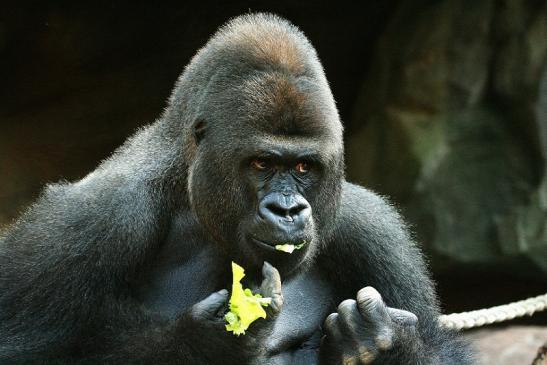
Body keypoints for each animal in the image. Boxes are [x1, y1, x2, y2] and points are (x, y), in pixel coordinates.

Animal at [0, 13, 470, 364]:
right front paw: (203, 342)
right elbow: (22, 351)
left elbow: (437, 350)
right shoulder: (90, 219)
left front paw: (379, 341)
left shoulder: (372, 227)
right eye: (262, 163)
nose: (287, 210)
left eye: (304, 166)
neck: (186, 183)